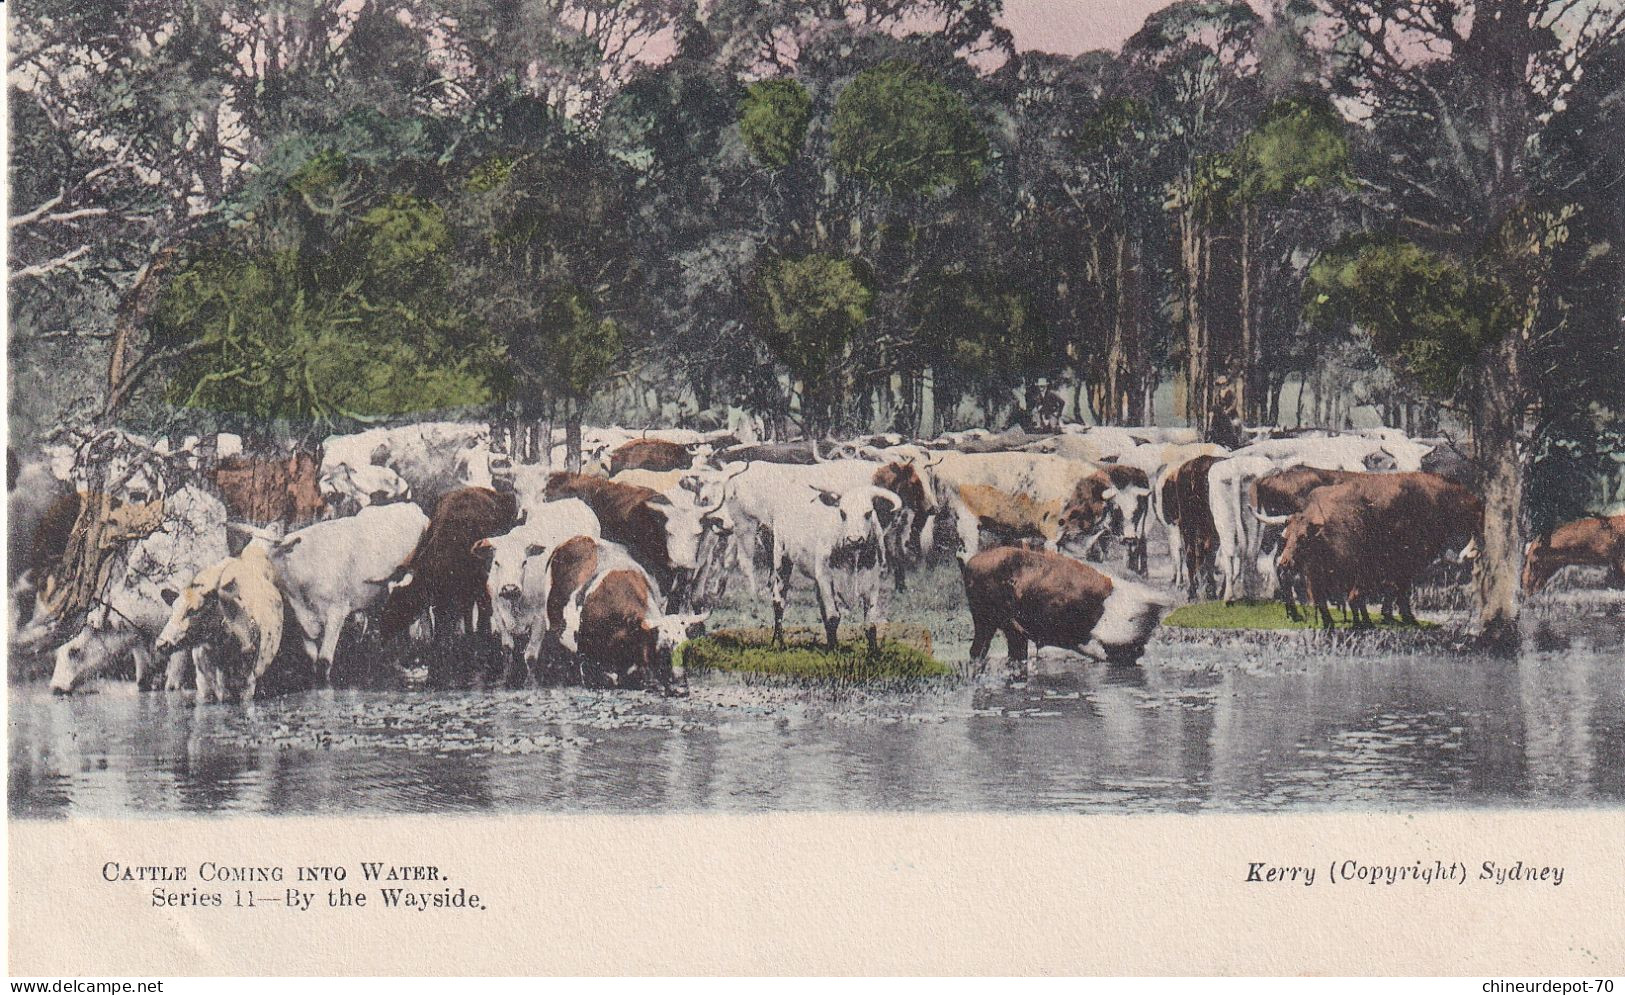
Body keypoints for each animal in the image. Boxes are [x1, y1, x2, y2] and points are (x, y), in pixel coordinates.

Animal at [1267, 471, 1488, 624]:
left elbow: (1391, 586)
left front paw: (1388, 615)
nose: (1472, 550)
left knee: (1284, 573)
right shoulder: (1408, 557)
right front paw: (1405, 617)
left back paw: (1296, 614)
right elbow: (1401, 587)